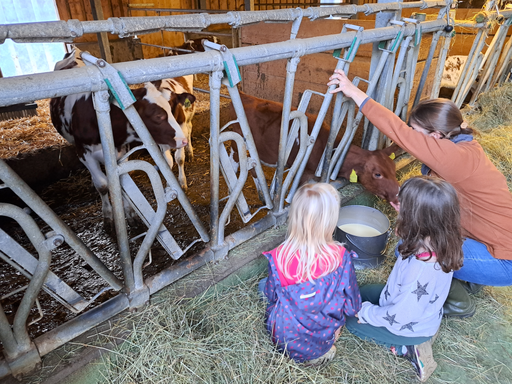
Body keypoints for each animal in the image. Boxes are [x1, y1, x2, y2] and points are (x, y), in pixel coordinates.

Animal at [51, 50, 191, 232]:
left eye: (171, 108)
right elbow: (103, 185)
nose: (183, 140)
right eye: (158, 116)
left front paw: (130, 215)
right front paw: (108, 217)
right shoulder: (83, 153)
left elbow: (121, 180)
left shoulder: (122, 150)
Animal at [228, 92, 400, 204]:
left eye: (393, 168)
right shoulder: (303, 173)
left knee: (252, 167)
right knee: (234, 162)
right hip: (238, 144)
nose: (398, 194)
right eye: (377, 174)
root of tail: (244, 95)